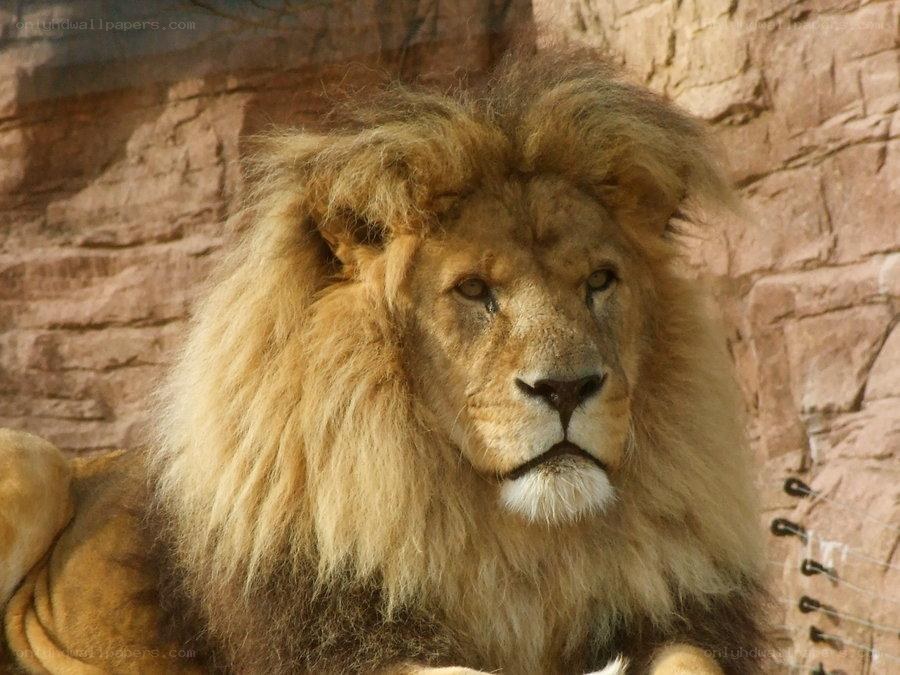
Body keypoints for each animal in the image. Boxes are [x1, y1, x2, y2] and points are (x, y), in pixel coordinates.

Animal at [1, 51, 768, 674]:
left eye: (600, 281)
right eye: (474, 290)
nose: (566, 387)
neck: (523, 545)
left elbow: (693, 656)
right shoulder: (332, 638)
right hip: (33, 461)